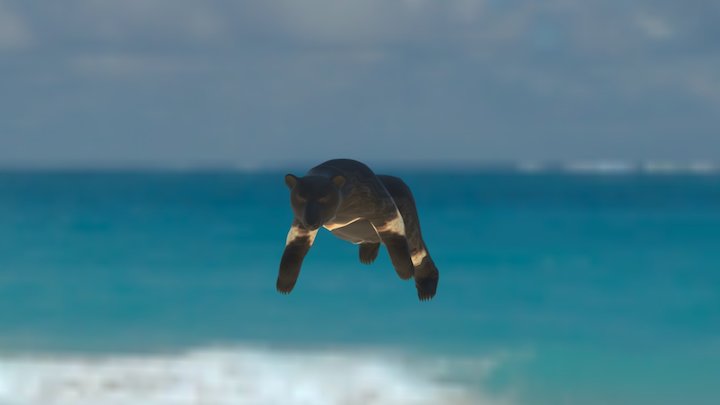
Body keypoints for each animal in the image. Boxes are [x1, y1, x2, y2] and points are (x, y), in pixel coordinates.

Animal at [277, 159, 439, 300]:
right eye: (301, 197)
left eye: (324, 197)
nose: (311, 219)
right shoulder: (301, 227)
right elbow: (293, 251)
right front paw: (284, 285)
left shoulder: (385, 211)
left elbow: (396, 241)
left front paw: (405, 272)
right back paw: (367, 256)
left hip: (410, 230)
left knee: (418, 251)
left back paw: (427, 289)